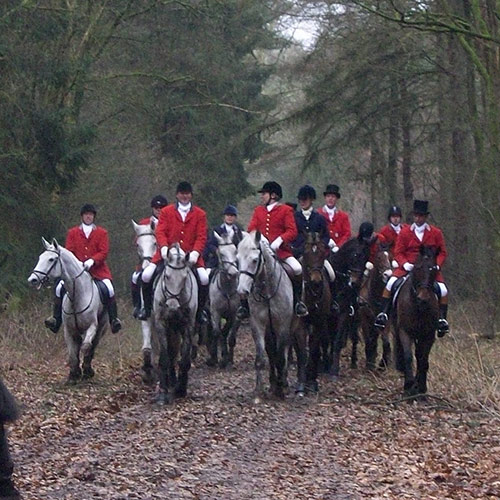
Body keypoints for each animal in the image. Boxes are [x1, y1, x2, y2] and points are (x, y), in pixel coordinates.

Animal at [28, 238, 107, 382]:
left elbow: (86, 347)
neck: (77, 295)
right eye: (40, 257)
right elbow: (72, 353)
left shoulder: (92, 327)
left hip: (102, 327)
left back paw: (88, 369)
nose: (33, 279)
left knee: (93, 345)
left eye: (51, 259)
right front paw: (73, 374)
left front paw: (84, 370)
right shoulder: (69, 330)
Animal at [153, 244, 198, 404]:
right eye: (166, 276)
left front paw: (181, 388)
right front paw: (162, 394)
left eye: (184, 278)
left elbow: (184, 358)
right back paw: (169, 380)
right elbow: (165, 357)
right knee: (170, 353)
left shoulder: (188, 325)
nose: (172, 307)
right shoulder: (161, 324)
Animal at [394, 244, 438, 396]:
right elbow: (408, 356)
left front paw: (422, 388)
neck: (418, 307)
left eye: (434, 269)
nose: (423, 299)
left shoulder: (429, 334)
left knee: (420, 357)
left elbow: (423, 360)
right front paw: (409, 384)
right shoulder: (404, 331)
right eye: (418, 267)